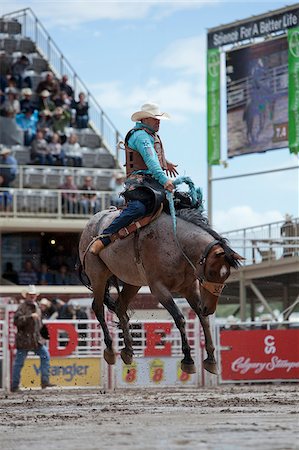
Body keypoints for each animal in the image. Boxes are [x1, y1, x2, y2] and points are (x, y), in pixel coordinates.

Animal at [78, 207, 243, 372]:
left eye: (226, 275)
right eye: (212, 272)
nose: (209, 308)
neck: (177, 245)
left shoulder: (189, 288)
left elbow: (203, 319)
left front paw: (211, 359)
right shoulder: (158, 288)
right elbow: (179, 318)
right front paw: (188, 359)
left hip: (133, 282)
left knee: (120, 307)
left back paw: (128, 350)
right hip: (98, 276)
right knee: (98, 307)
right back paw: (111, 349)